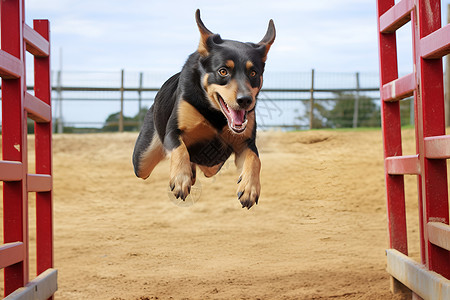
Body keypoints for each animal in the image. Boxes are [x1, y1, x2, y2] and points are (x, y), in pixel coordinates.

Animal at [132, 9, 276, 209]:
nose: (245, 100)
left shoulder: (245, 142)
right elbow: (179, 147)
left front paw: (250, 187)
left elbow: (255, 159)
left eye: (253, 73)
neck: (215, 113)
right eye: (223, 71)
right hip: (142, 159)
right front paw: (180, 178)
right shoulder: (172, 130)